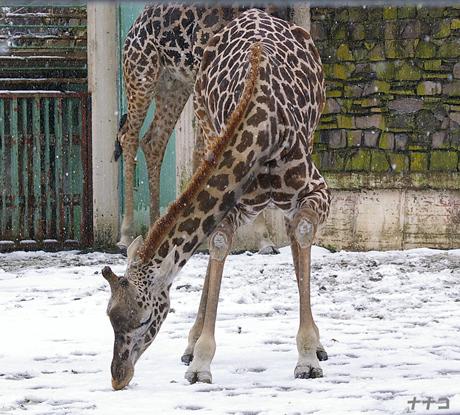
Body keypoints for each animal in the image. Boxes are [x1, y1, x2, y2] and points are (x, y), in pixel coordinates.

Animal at [117, 4, 286, 254]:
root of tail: (133, 27)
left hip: (174, 84)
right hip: (141, 74)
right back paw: (126, 235)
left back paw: (155, 226)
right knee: (128, 136)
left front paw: (264, 239)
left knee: (153, 141)